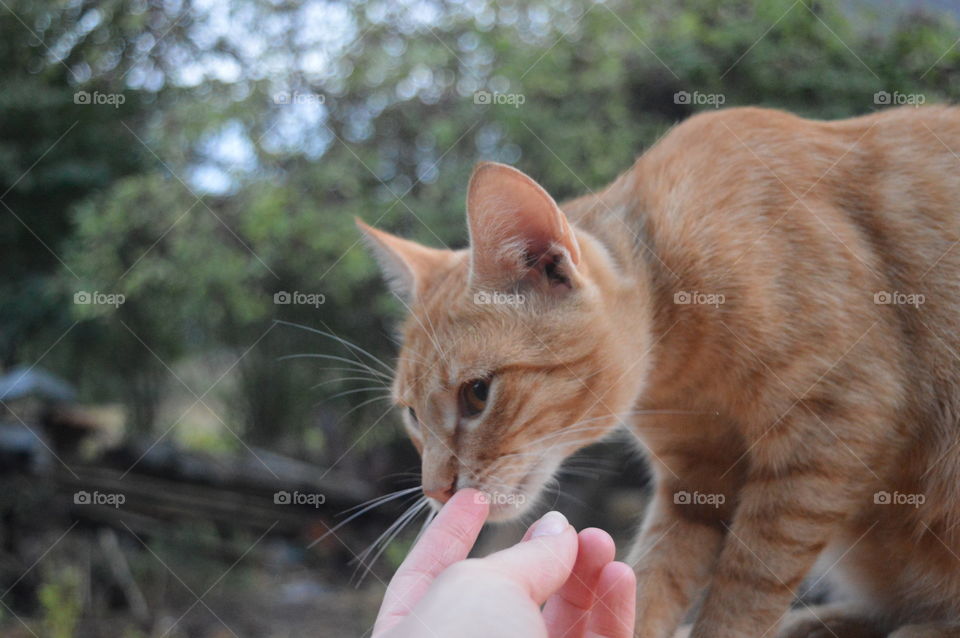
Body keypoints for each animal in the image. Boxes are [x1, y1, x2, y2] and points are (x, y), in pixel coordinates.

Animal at [356, 107, 960, 636]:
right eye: (413, 415)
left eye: (477, 394)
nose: (436, 491)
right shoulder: (695, 483)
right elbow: (650, 584)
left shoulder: (831, 429)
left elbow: (744, 593)